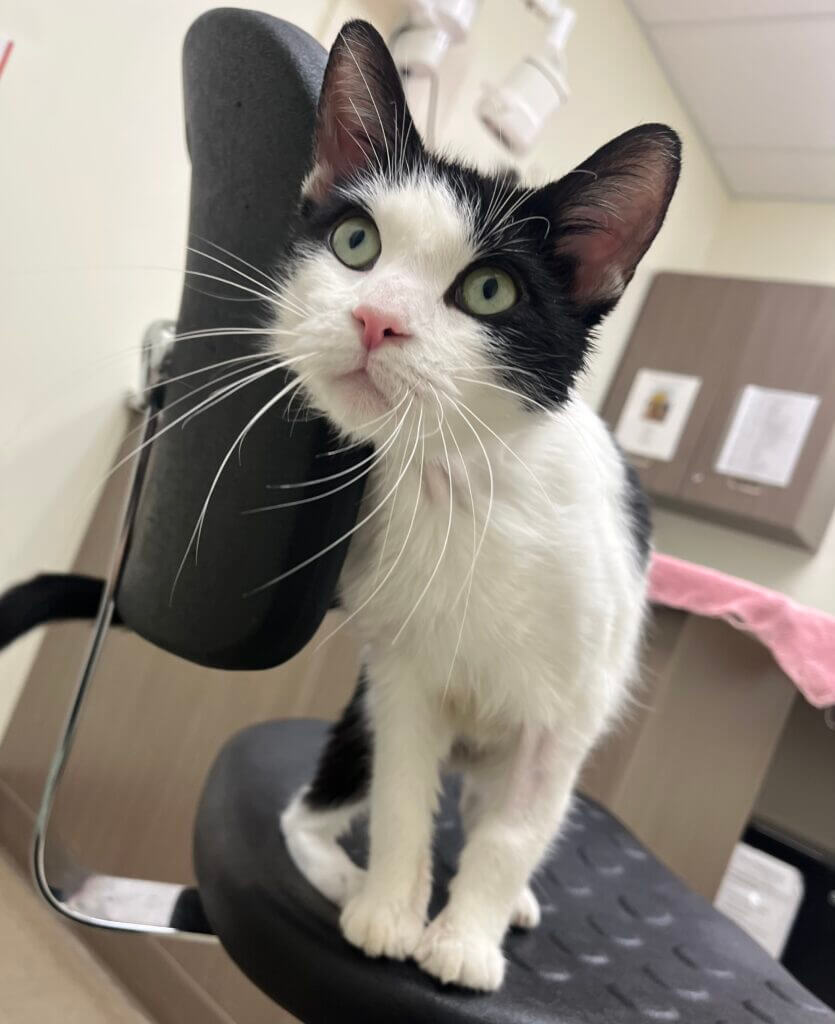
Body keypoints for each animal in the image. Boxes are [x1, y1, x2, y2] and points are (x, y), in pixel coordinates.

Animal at [274, 18, 680, 991]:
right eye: (354, 242)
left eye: (490, 290)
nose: (375, 319)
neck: (460, 486)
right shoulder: (402, 676)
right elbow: (402, 795)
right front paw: (390, 908)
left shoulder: (570, 707)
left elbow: (515, 829)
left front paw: (464, 939)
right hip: (363, 713)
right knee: (308, 808)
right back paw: (342, 875)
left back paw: (510, 903)